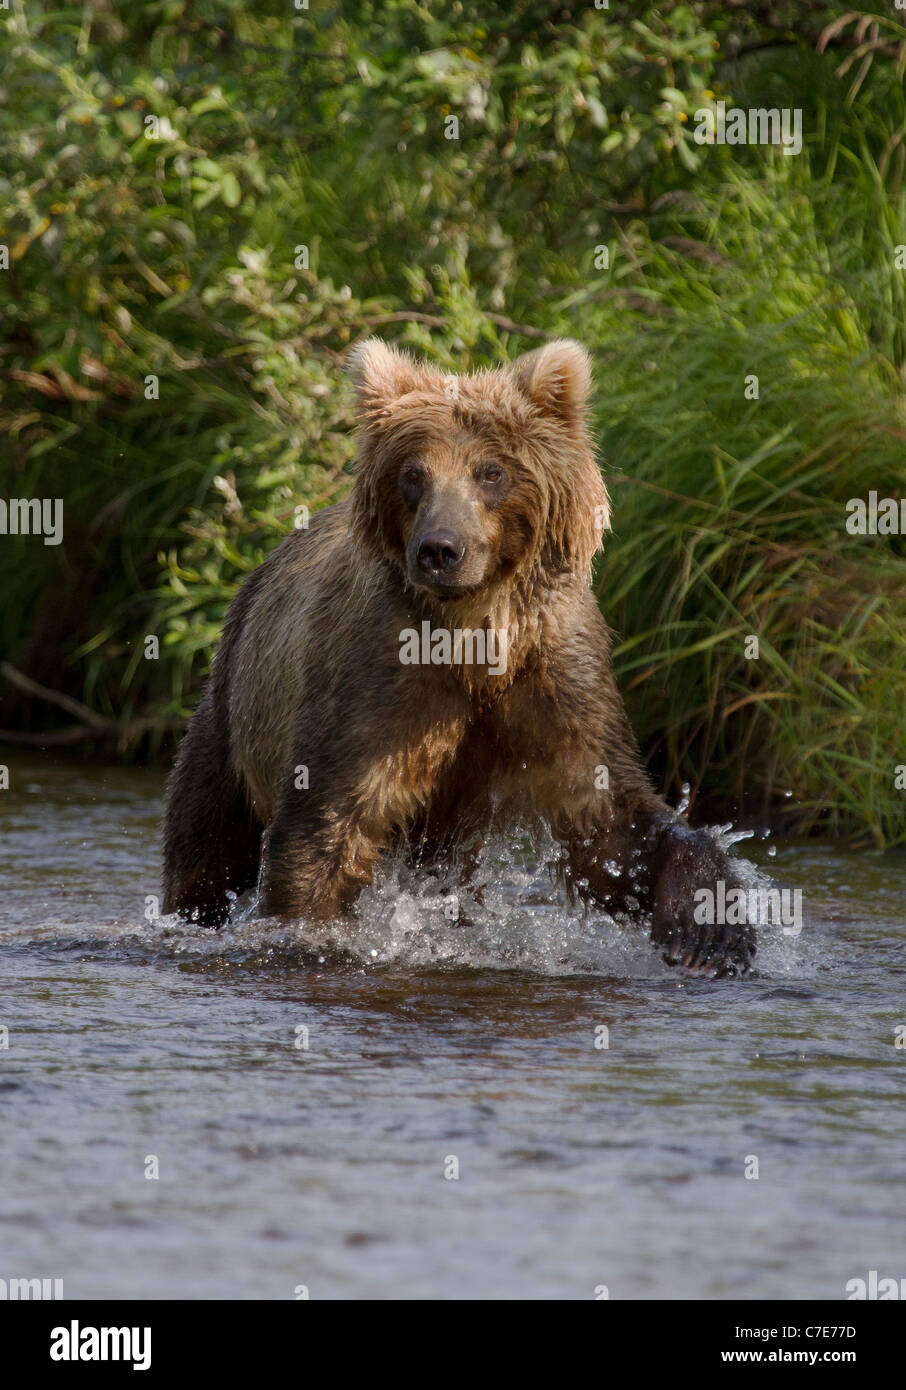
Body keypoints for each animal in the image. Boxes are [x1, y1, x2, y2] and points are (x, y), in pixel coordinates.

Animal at [162, 337, 755, 978]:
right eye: (413, 474)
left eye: (491, 471)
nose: (440, 549)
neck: (475, 633)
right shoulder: (378, 685)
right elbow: (327, 825)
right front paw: (304, 930)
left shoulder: (554, 679)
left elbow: (611, 826)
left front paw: (709, 931)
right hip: (232, 710)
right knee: (205, 840)